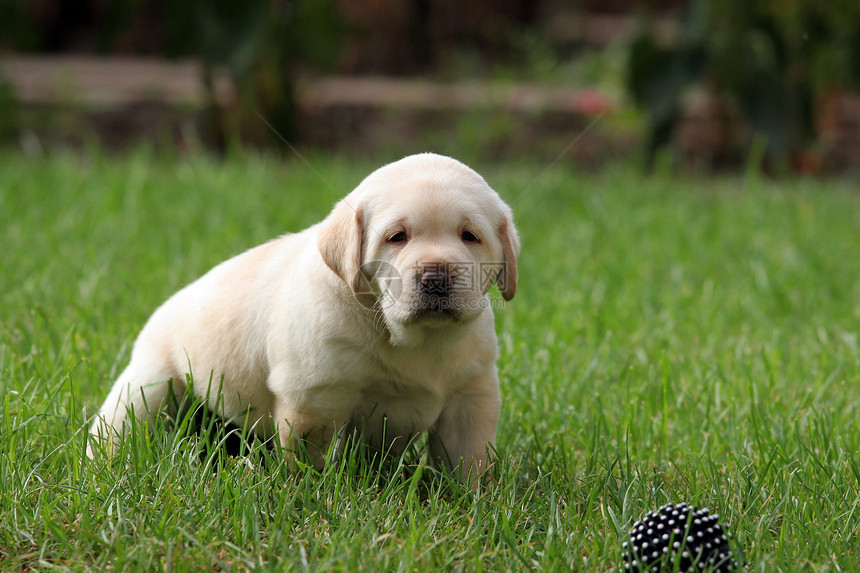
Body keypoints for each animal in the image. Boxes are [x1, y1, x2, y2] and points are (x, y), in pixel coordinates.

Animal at [89, 154, 516, 476]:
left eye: (470, 236)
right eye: (397, 237)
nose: (436, 277)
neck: (413, 337)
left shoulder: (472, 395)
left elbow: (468, 459)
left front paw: (473, 501)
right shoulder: (315, 395)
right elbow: (308, 458)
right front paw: (309, 494)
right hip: (148, 386)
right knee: (117, 427)